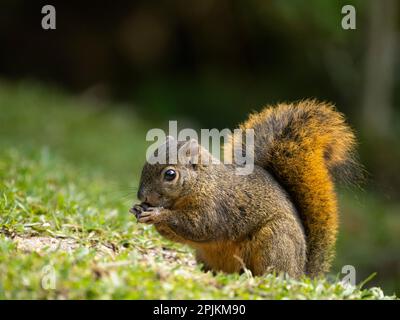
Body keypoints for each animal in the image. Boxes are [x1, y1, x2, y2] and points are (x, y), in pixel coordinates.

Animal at [130, 99, 360, 278]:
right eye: (144, 165)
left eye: (170, 174)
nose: (142, 196)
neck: (203, 182)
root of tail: (300, 273)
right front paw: (138, 210)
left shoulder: (215, 206)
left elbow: (199, 226)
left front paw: (158, 214)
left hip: (276, 240)